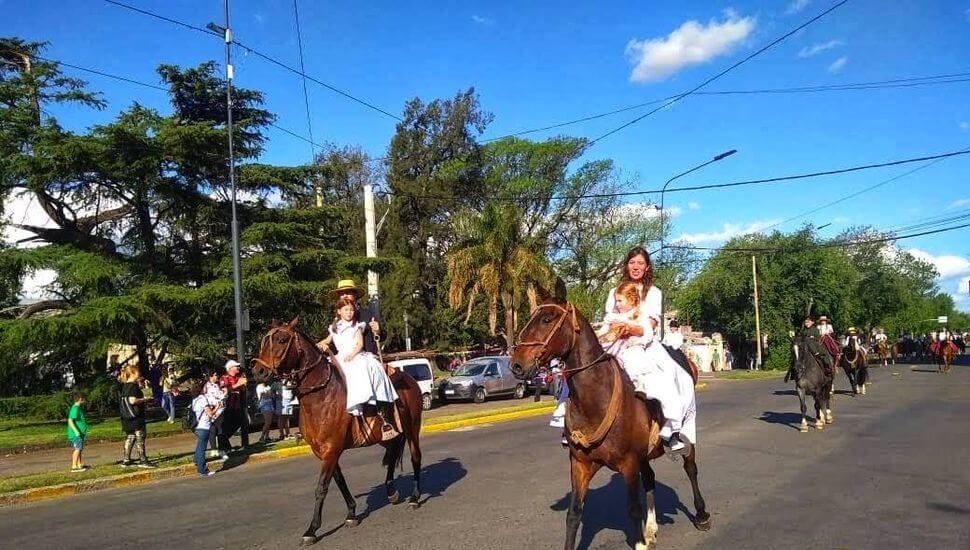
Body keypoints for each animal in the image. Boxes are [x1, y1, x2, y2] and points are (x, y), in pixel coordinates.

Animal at [253, 320, 424, 548]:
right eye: (264, 340)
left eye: (281, 340)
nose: (258, 371)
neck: (321, 396)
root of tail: (409, 379)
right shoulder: (323, 451)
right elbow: (339, 481)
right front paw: (351, 513)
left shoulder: (331, 449)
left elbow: (322, 487)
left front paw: (312, 530)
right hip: (387, 435)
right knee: (392, 452)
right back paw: (391, 491)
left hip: (413, 427)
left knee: (415, 457)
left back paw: (414, 497)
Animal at [510, 288, 708, 550]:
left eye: (547, 318)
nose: (516, 365)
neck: (595, 401)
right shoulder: (581, 463)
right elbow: (574, 513)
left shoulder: (629, 463)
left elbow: (633, 508)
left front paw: (640, 542)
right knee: (650, 478)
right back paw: (651, 529)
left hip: (685, 433)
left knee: (690, 468)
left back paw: (702, 515)